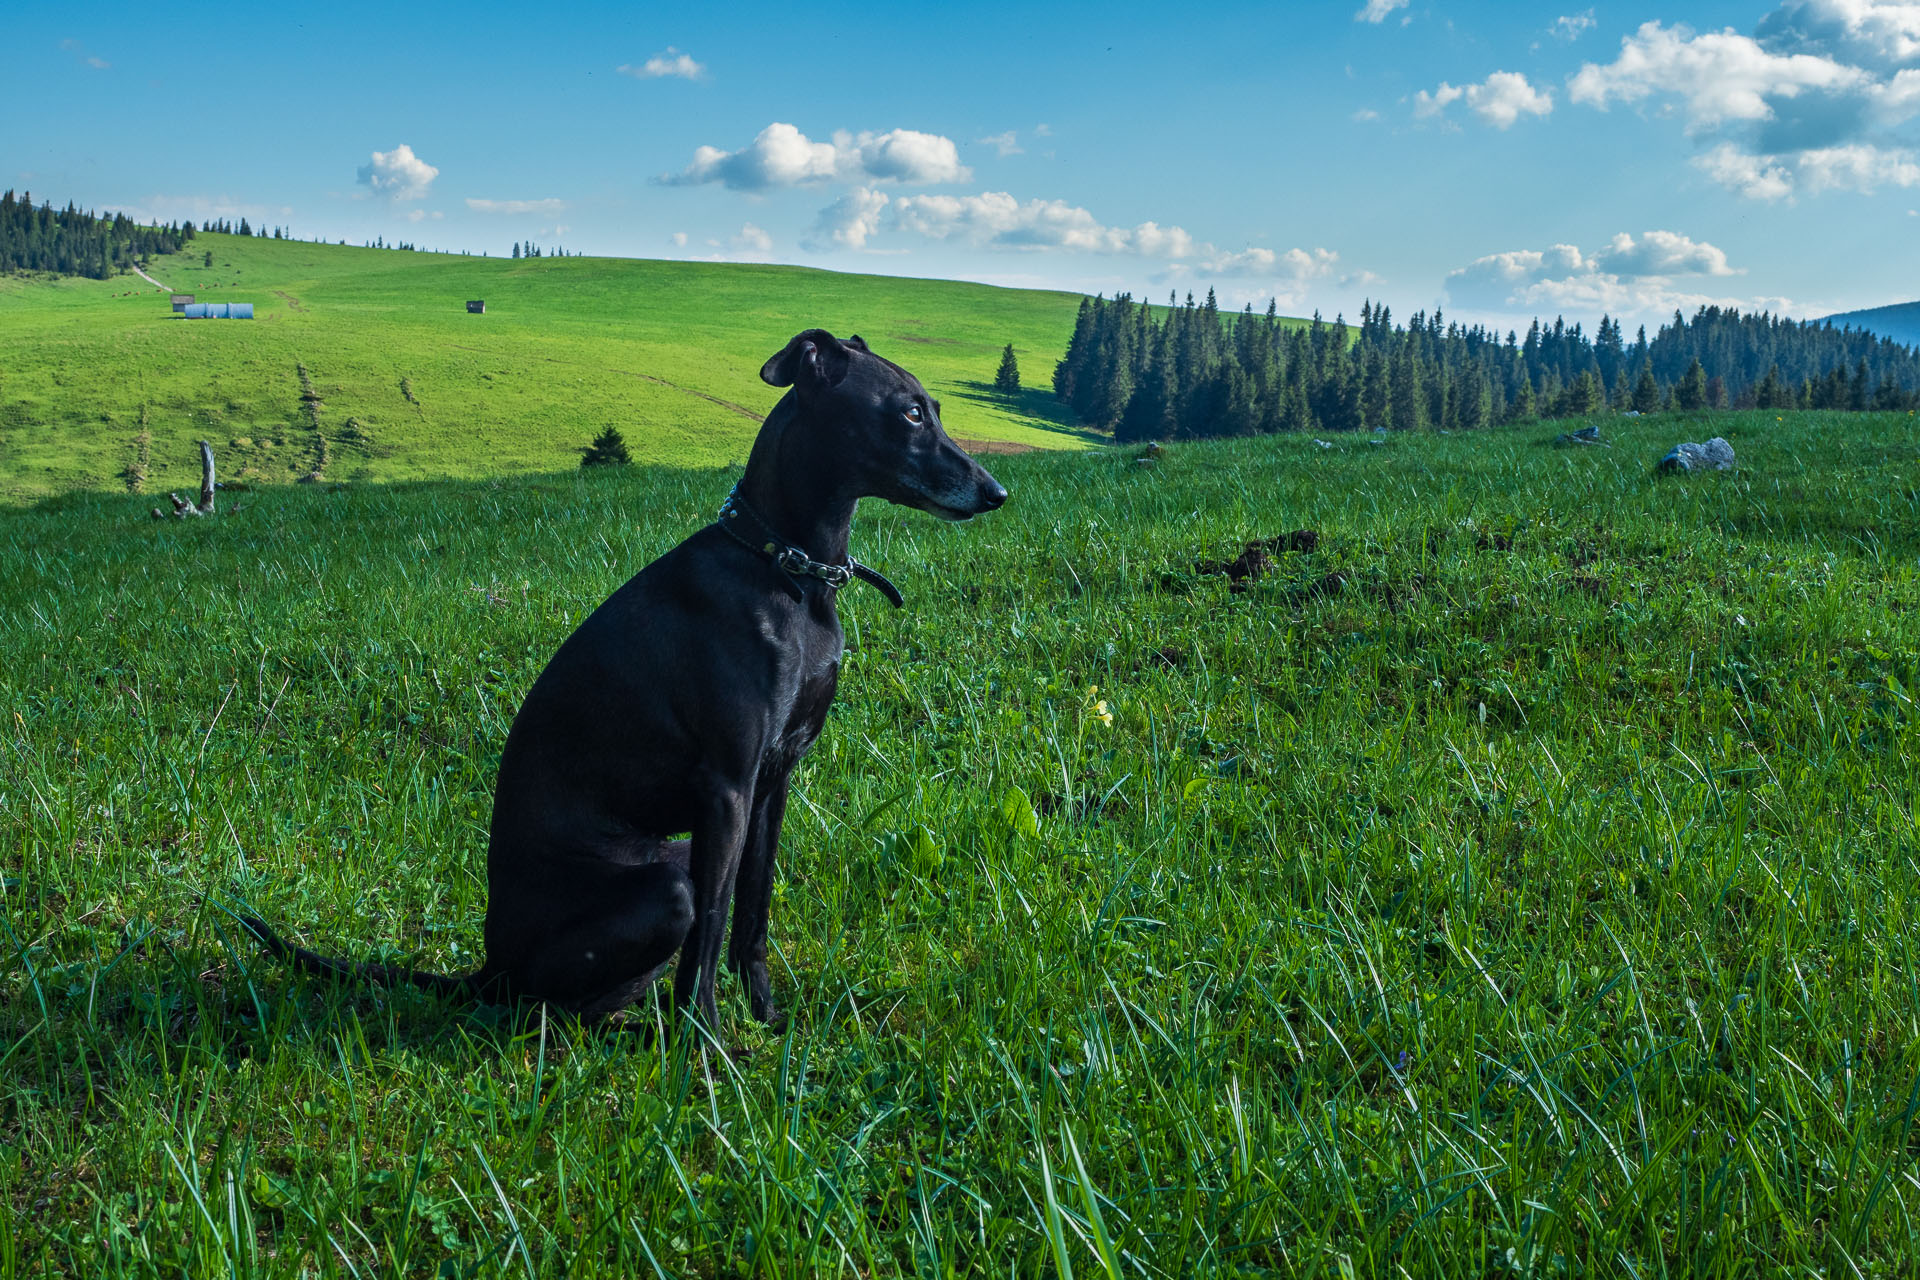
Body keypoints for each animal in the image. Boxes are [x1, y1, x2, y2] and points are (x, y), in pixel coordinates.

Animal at [243, 333, 1006, 1028]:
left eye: (936, 408)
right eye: (910, 412)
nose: (997, 492)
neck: (787, 568)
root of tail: (488, 968)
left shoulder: (774, 781)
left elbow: (753, 914)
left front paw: (767, 1021)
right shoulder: (727, 788)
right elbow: (712, 931)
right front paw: (709, 1050)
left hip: (673, 855)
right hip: (664, 887)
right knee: (557, 1007)